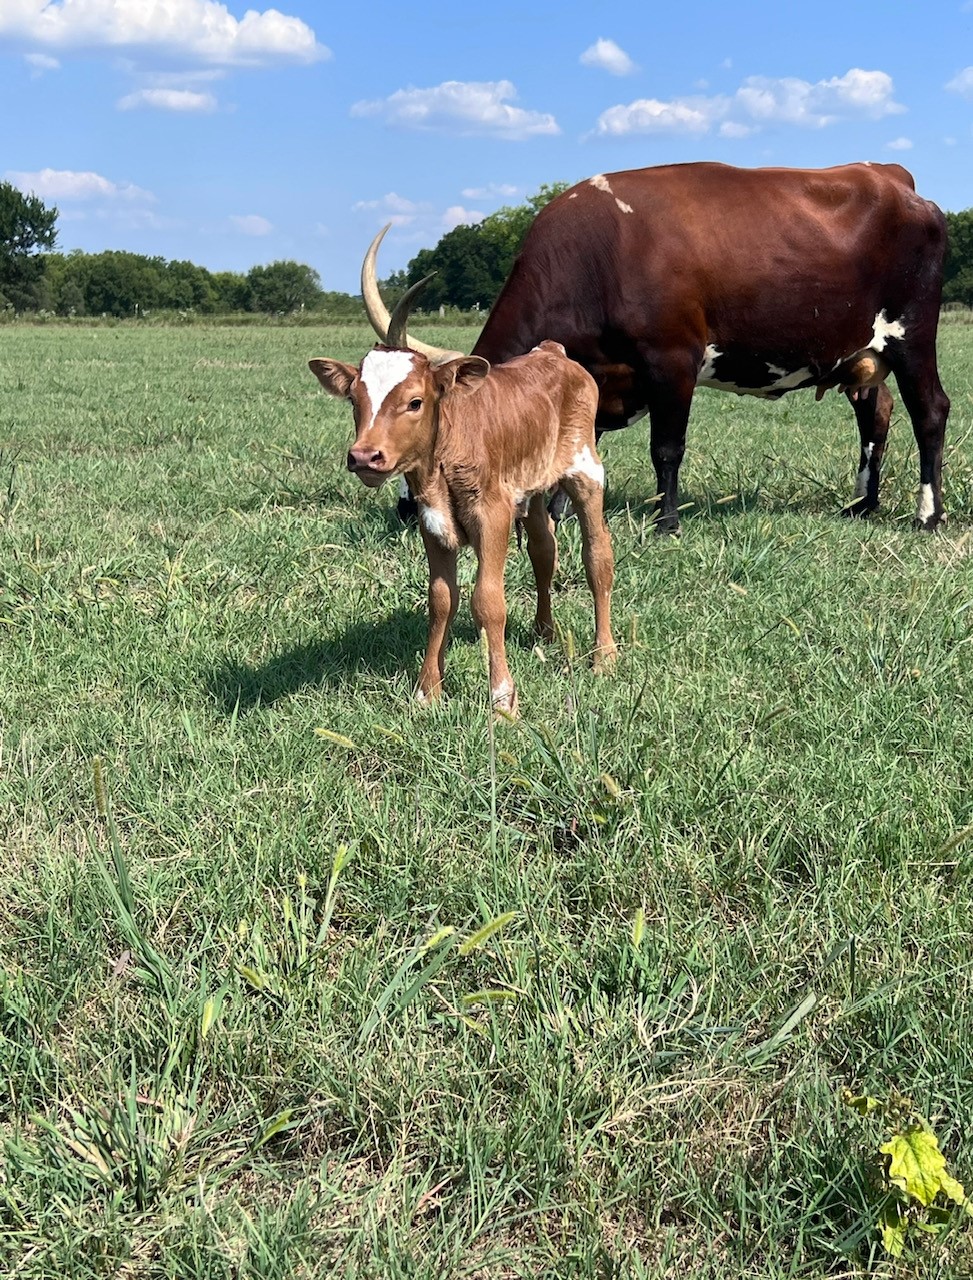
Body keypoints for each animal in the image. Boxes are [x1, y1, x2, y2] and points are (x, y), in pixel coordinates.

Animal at [308, 285, 617, 717]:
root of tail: (552, 352)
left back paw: (604, 655)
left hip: (585, 471)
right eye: (354, 401)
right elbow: (441, 600)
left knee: (597, 556)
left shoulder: (494, 516)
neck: (442, 465)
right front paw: (427, 690)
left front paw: (503, 698)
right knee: (544, 550)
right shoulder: (432, 523)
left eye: (415, 402)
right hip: (533, 489)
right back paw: (544, 631)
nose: (365, 456)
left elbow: (488, 601)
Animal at [361, 161, 950, 533]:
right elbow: (574, 446)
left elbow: (666, 447)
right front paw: (558, 514)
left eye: (420, 410)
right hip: (862, 354)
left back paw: (927, 515)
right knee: (876, 414)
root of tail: (895, 179)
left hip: (913, 335)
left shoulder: (672, 361)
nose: (404, 510)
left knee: (930, 411)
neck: (596, 254)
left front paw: (666, 522)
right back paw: (863, 504)